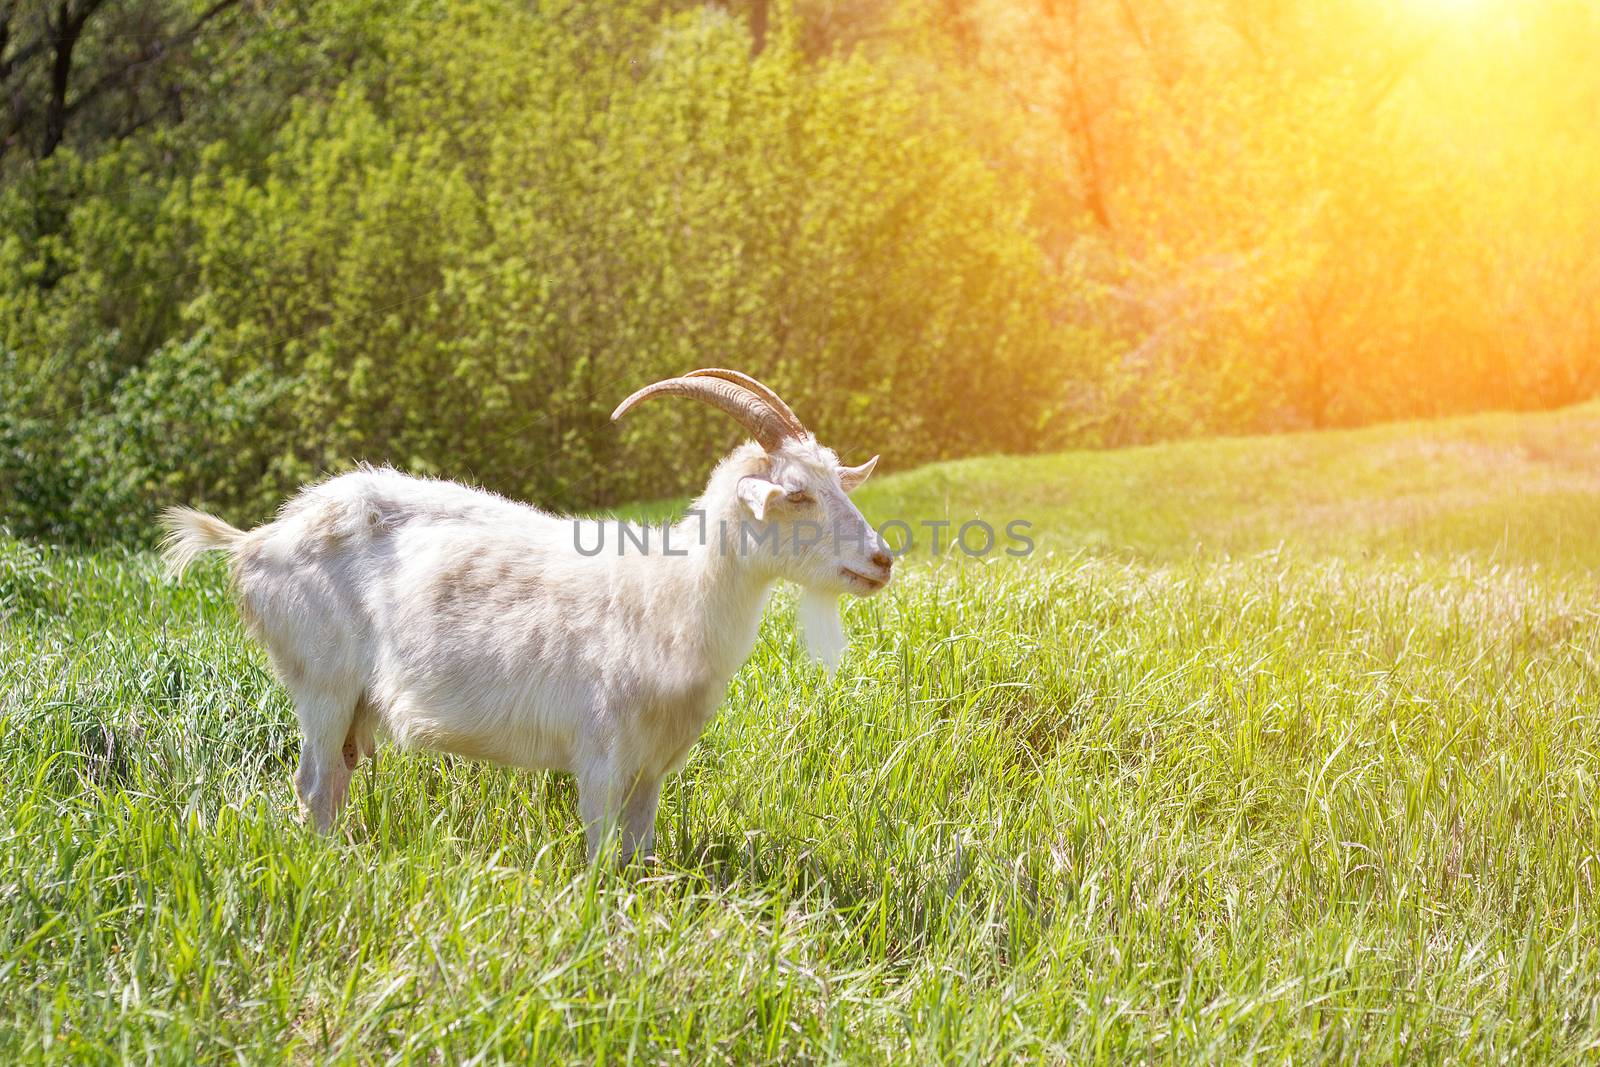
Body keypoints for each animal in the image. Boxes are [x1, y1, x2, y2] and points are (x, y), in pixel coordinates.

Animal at [164, 371, 896, 863]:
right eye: (796, 495)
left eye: (836, 483)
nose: (882, 559)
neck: (668, 591)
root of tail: (254, 542)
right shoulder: (601, 756)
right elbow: (603, 859)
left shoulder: (651, 770)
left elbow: (642, 857)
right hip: (321, 681)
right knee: (313, 784)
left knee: (334, 783)